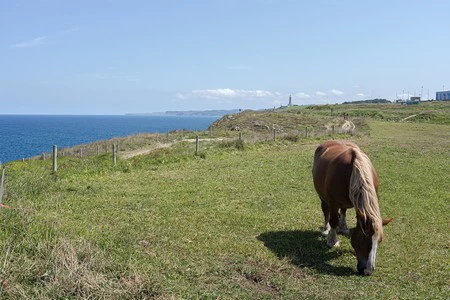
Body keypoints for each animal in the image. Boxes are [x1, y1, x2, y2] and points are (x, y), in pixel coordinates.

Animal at [312, 141, 392, 276]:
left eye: (380, 240)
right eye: (364, 240)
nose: (368, 271)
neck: (355, 168)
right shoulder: (333, 202)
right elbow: (333, 221)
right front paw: (332, 241)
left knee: (343, 211)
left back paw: (344, 227)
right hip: (323, 197)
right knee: (326, 212)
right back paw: (326, 229)